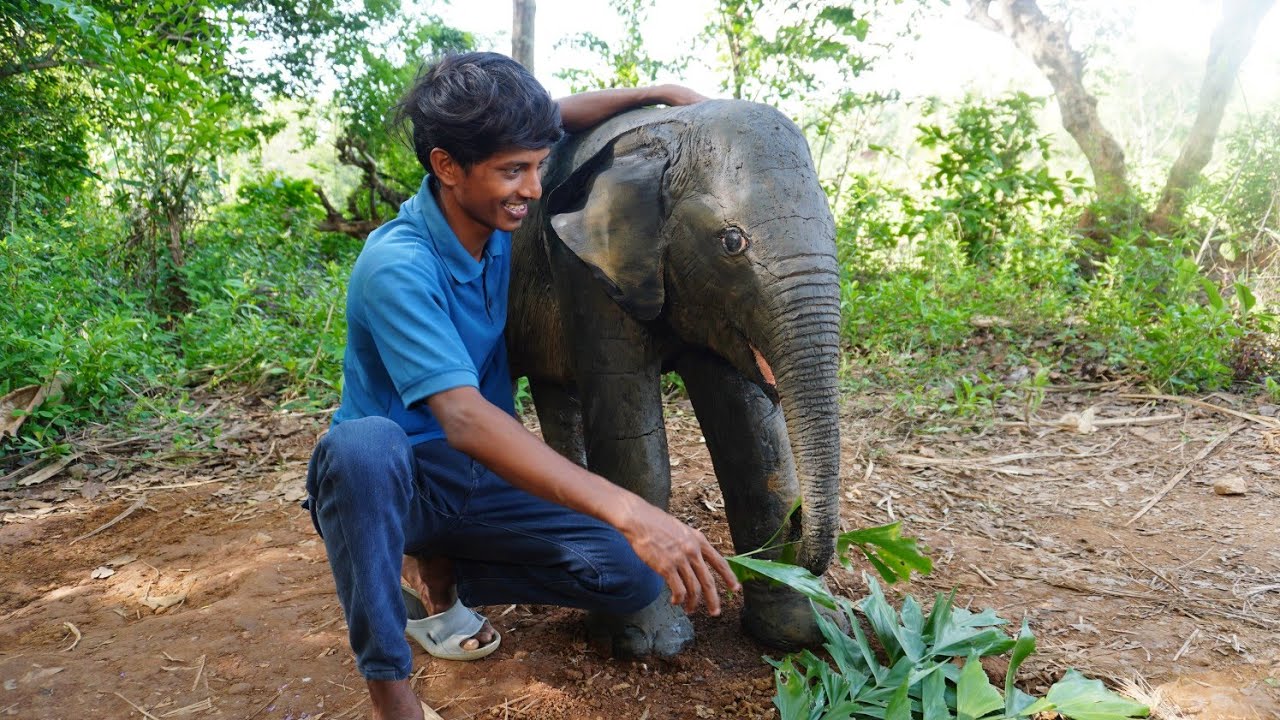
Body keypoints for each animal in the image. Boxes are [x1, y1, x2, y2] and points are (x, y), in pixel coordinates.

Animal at [506, 98, 841, 656]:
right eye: (732, 241)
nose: (801, 528)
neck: (661, 137)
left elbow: (756, 450)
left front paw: (801, 630)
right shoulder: (584, 269)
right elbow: (635, 452)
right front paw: (650, 644)